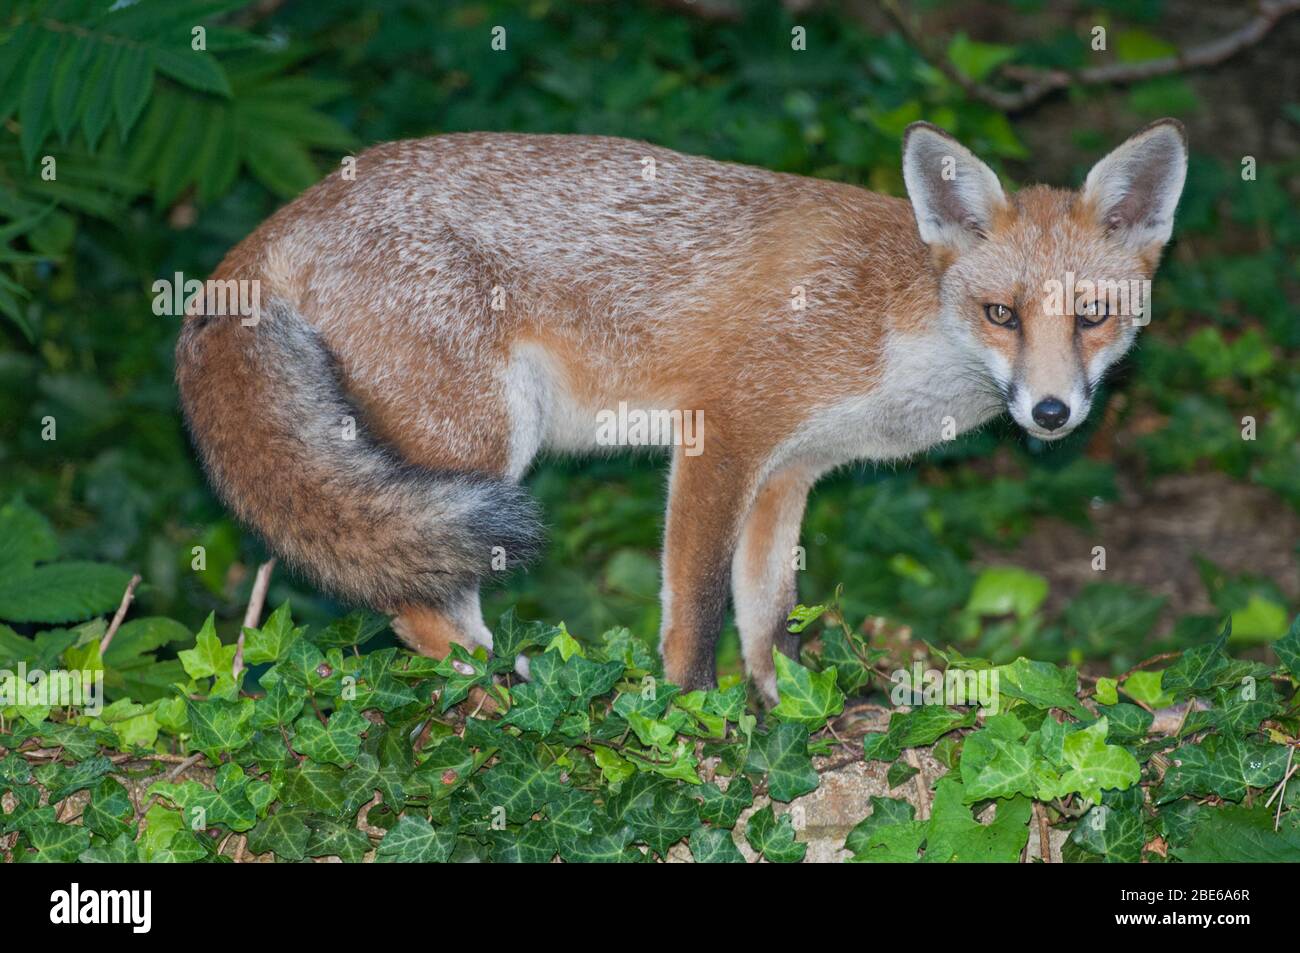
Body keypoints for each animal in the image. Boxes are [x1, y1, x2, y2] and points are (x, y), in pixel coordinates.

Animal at [175, 118, 1190, 696]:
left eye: (1092, 316)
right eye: (1002, 314)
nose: (1052, 413)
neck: (886, 322)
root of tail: (272, 227)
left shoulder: (788, 474)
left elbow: (767, 615)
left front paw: (782, 716)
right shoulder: (723, 437)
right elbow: (695, 611)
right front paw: (692, 723)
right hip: (480, 453)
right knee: (419, 612)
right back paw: (506, 706)